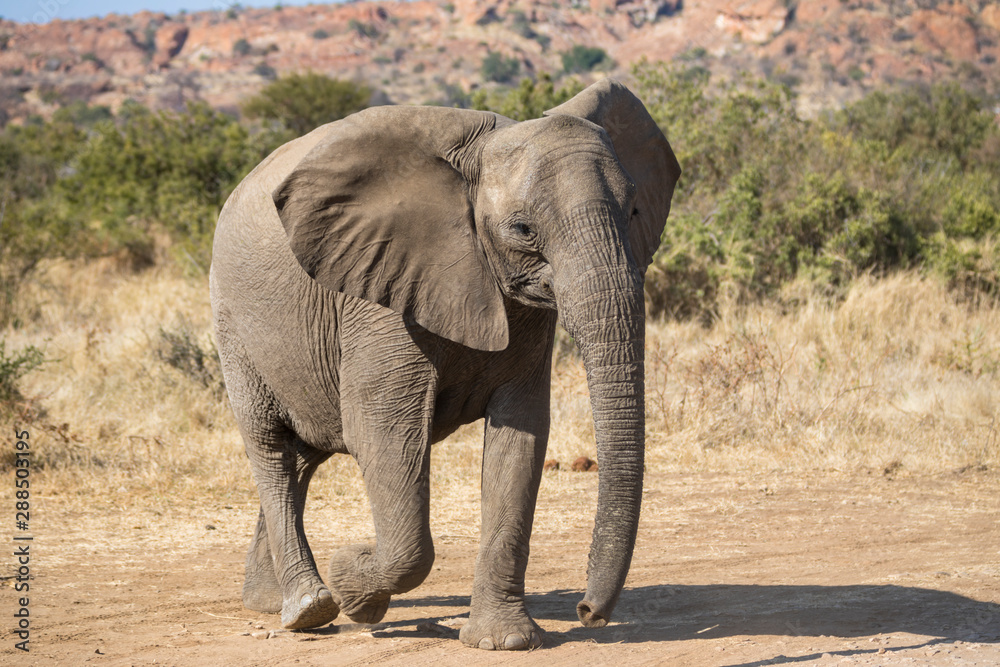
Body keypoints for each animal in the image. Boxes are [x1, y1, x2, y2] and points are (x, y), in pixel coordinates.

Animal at [210, 75, 680, 648]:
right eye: (523, 229)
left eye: (634, 212)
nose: (587, 611)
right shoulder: (378, 293)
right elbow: (382, 432)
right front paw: (352, 580)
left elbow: (520, 437)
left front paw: (505, 641)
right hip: (233, 325)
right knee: (270, 446)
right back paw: (310, 609)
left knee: (302, 456)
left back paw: (268, 601)